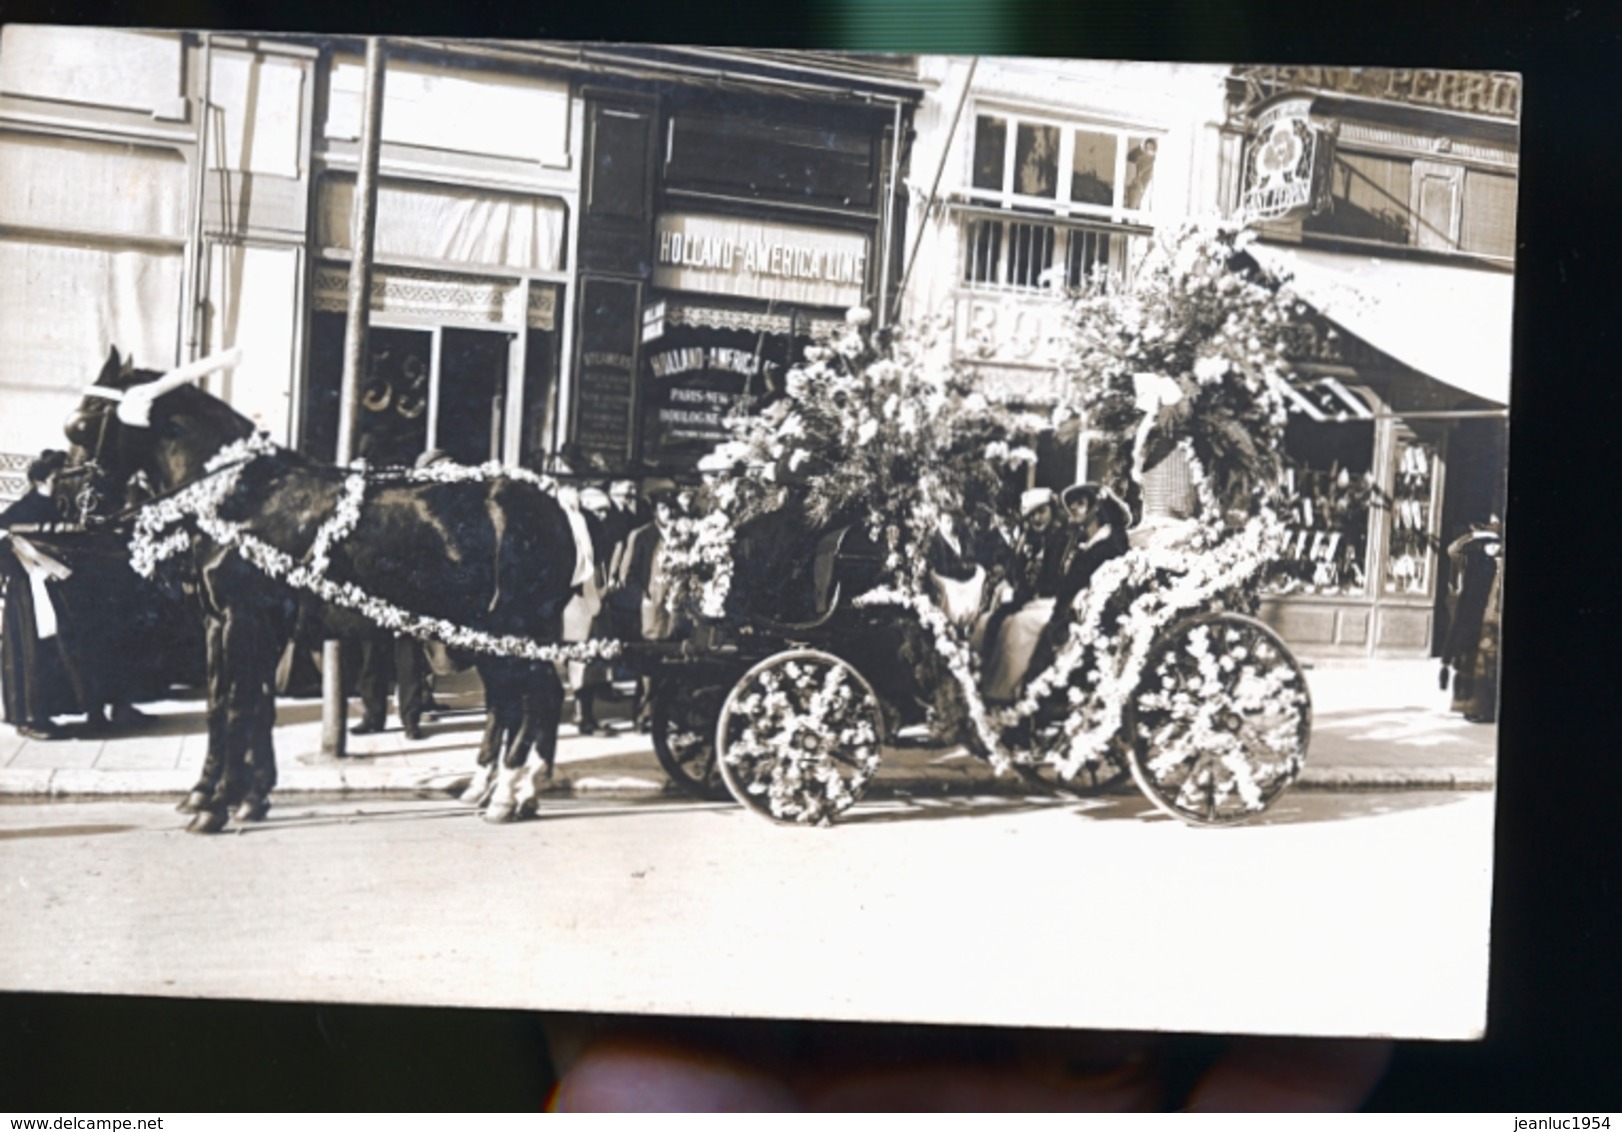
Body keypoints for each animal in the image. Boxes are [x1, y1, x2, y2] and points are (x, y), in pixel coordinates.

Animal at [66, 348, 583, 830]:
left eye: (84, 422)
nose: (78, 505)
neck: (242, 495)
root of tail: (554, 505)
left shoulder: (242, 620)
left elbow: (237, 705)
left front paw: (216, 806)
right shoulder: (227, 623)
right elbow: (233, 704)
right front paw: (239, 796)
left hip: (511, 628)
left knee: (535, 696)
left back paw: (509, 794)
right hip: (486, 633)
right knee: (514, 701)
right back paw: (499, 788)